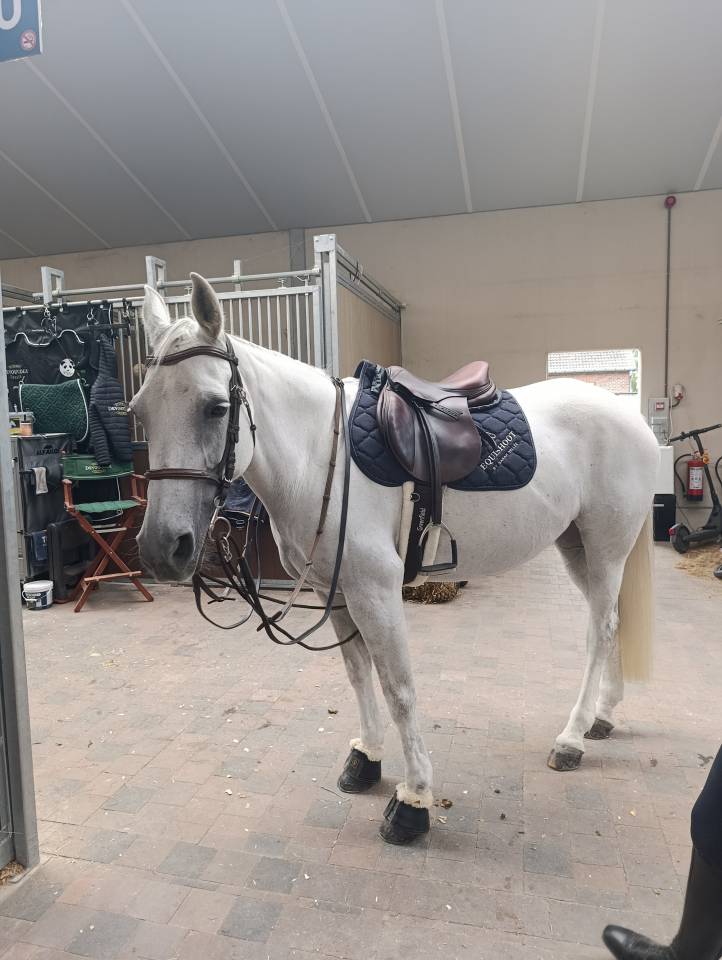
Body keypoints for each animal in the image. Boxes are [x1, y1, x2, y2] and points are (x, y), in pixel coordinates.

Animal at [132, 274, 659, 844]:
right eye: (139, 412)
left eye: (215, 407)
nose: (163, 547)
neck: (321, 455)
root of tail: (630, 416)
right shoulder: (337, 591)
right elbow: (358, 673)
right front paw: (366, 758)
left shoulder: (377, 591)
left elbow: (398, 687)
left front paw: (414, 801)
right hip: (577, 547)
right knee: (613, 622)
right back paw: (601, 717)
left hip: (605, 547)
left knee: (600, 630)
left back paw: (571, 739)